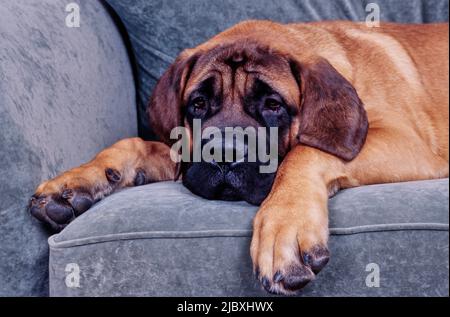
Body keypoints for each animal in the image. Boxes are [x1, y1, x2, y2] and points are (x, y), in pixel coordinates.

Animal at [29, 21, 448, 294]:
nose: (224, 152)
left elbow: (305, 150)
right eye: (198, 104)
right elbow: (135, 143)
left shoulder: (408, 145)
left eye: (273, 105)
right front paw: (75, 181)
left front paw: (285, 227)